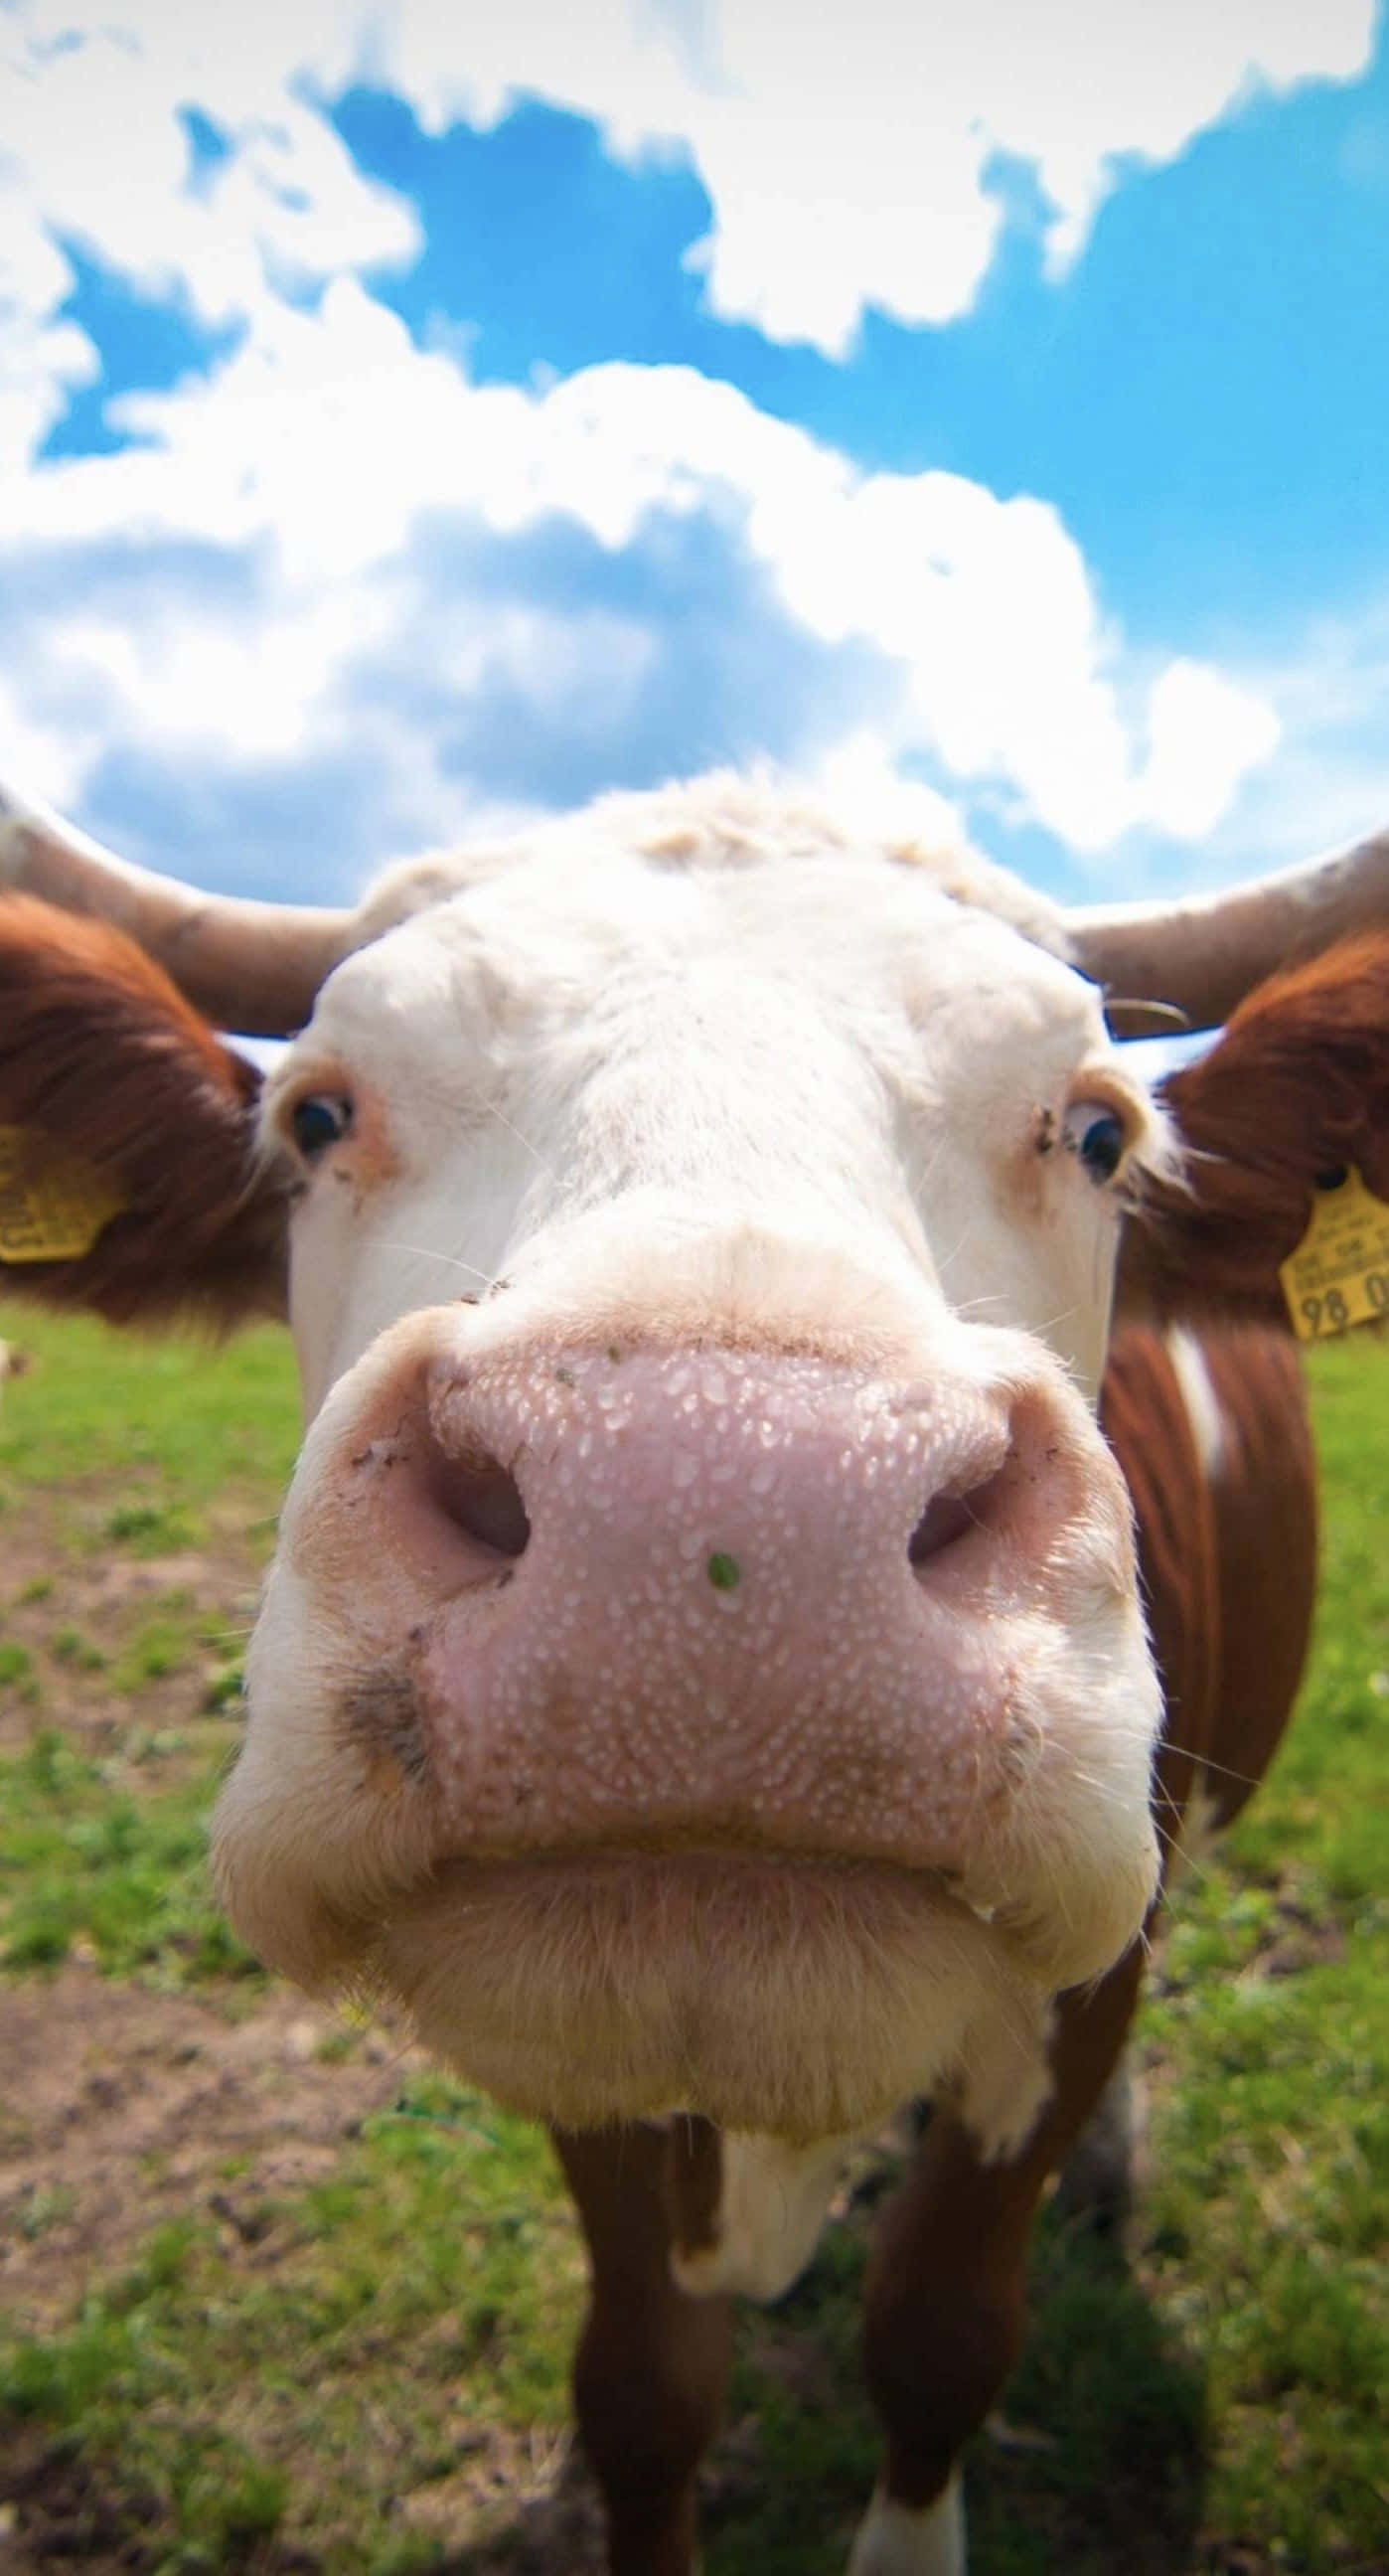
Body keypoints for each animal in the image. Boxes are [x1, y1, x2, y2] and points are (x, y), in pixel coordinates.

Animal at [2, 772, 1386, 2576]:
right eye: (316, 1116)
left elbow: (938, 2334)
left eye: (1096, 1133)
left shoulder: (1078, 1995)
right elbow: (645, 2385)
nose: (718, 1497)